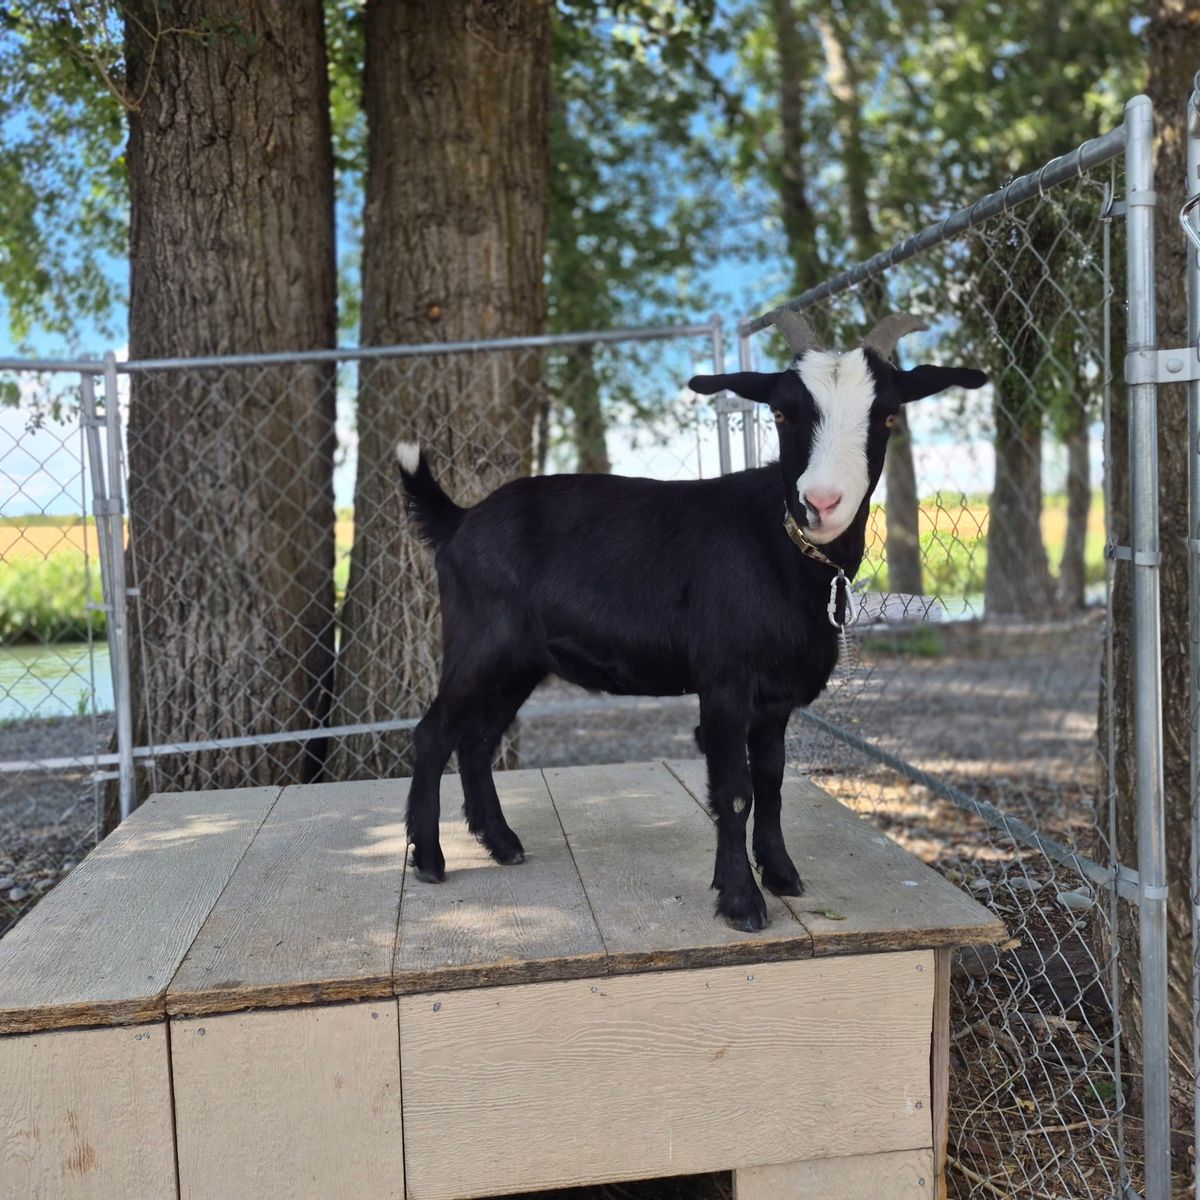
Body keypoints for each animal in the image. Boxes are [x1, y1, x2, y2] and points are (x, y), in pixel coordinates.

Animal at [397, 311, 986, 930]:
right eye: (781, 412)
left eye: (889, 413)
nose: (820, 503)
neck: (781, 549)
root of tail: (459, 519)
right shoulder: (724, 680)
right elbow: (734, 789)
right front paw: (742, 902)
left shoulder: (774, 697)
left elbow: (771, 782)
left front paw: (782, 875)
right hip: (479, 643)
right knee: (435, 732)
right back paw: (431, 861)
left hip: (519, 660)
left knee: (477, 739)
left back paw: (503, 843)